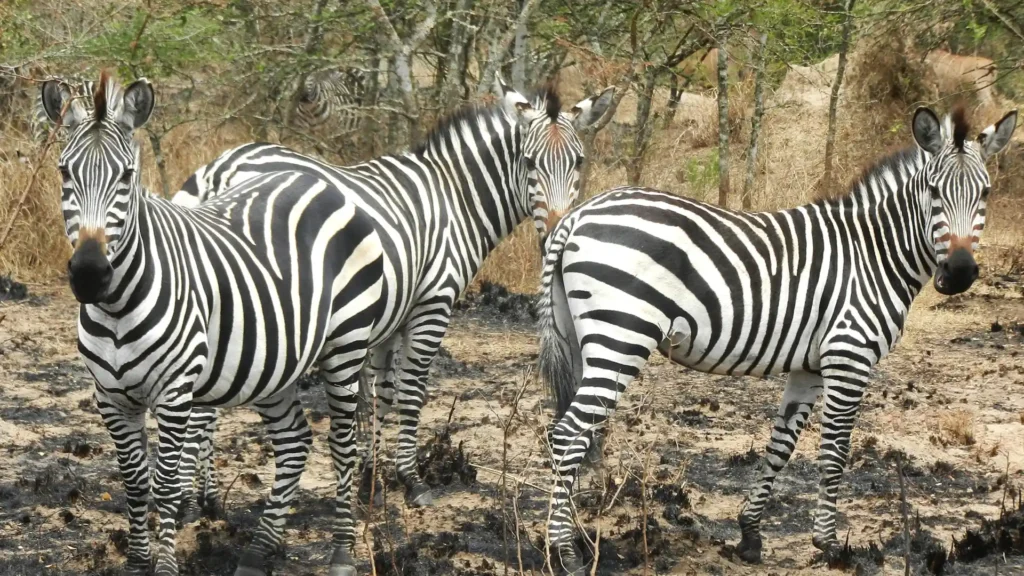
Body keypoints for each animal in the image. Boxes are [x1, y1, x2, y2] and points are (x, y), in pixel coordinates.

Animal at [37, 72, 385, 573]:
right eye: (65, 172)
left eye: (127, 176)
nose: (89, 273)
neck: (116, 306)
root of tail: (316, 176)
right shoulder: (110, 397)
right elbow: (134, 483)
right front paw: (137, 562)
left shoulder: (175, 391)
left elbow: (164, 486)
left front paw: (164, 565)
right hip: (276, 361)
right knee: (295, 442)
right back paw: (258, 552)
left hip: (347, 344)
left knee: (342, 444)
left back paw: (341, 552)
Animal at [174, 75, 614, 506]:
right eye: (528, 163)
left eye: (578, 161)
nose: (555, 233)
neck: (453, 199)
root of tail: (220, 170)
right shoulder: (432, 303)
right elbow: (411, 390)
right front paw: (412, 480)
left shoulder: (390, 313)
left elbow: (381, 392)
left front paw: (371, 480)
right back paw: (200, 502)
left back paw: (201, 496)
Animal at [536, 106, 1015, 569]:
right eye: (933, 191)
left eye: (986, 193)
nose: (959, 273)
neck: (874, 253)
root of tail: (577, 215)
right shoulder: (850, 355)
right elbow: (834, 452)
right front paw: (829, 546)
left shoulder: (810, 366)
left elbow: (780, 446)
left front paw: (749, 535)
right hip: (622, 334)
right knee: (567, 433)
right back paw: (563, 552)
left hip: (584, 338)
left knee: (577, 433)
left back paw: (576, 536)